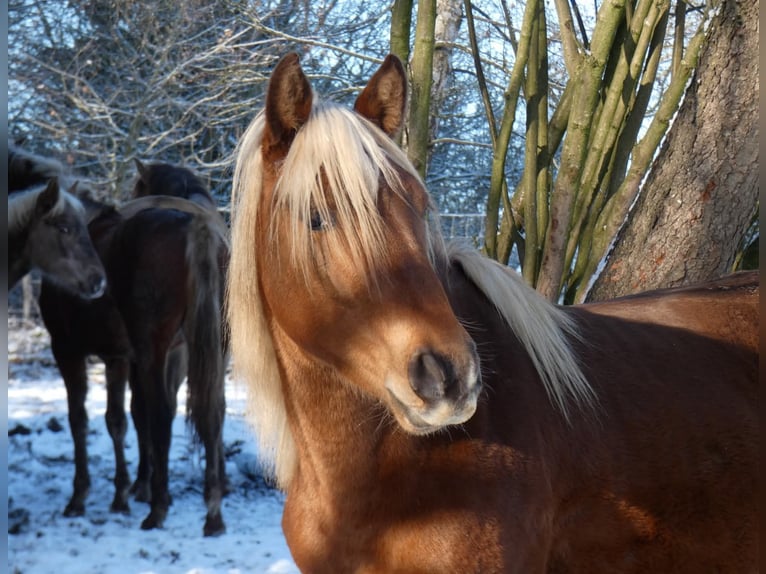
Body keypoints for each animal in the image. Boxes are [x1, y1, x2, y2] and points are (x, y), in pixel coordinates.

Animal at [38, 165, 230, 536]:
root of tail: (197, 227)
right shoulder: (120, 357)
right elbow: (119, 419)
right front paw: (123, 492)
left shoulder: (67, 351)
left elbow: (80, 419)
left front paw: (82, 496)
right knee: (211, 412)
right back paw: (212, 511)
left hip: (153, 350)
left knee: (161, 415)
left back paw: (158, 508)